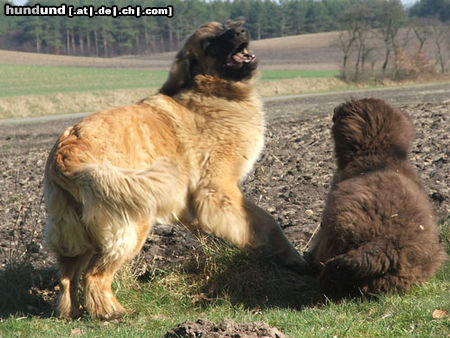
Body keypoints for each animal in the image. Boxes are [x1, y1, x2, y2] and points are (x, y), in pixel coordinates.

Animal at [44, 20, 308, 320]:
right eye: (209, 43)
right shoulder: (218, 189)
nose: (241, 29)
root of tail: (67, 149)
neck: (212, 92)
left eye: (224, 26)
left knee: (68, 276)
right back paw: (113, 313)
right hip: (132, 222)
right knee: (95, 276)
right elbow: (266, 222)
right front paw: (293, 258)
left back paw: (72, 312)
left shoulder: (194, 204)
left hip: (79, 231)